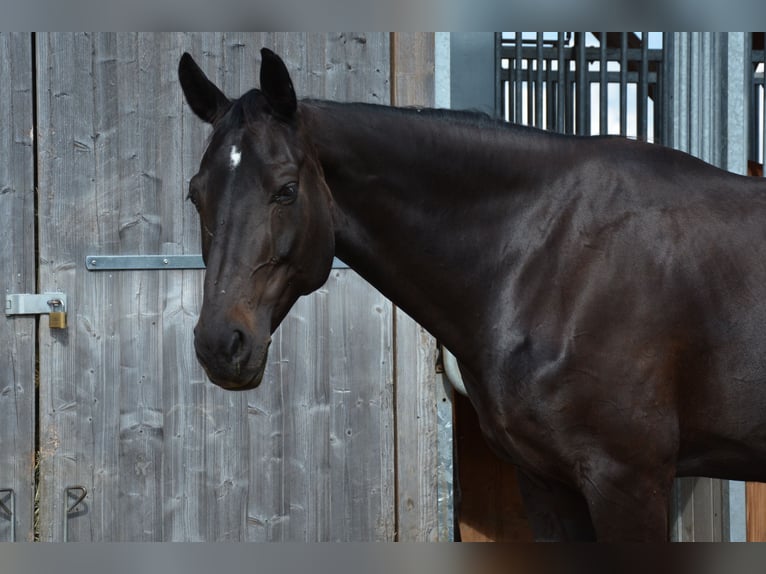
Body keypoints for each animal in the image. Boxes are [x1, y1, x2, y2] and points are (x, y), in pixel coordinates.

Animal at [178, 47, 766, 544]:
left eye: (286, 190)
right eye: (194, 193)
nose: (219, 344)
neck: (554, 259)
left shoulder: (629, 482)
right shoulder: (547, 482)